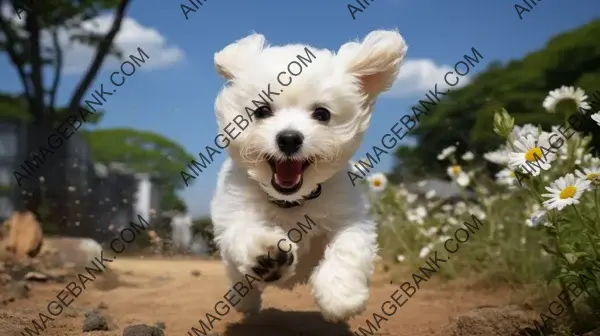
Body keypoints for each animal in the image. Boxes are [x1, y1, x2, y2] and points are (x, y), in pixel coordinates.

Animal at [210, 30, 408, 322]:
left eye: (322, 114)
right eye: (261, 111)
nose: (289, 138)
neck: (291, 202)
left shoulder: (350, 216)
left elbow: (348, 247)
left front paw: (341, 296)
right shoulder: (233, 211)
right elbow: (243, 231)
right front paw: (266, 254)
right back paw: (244, 297)